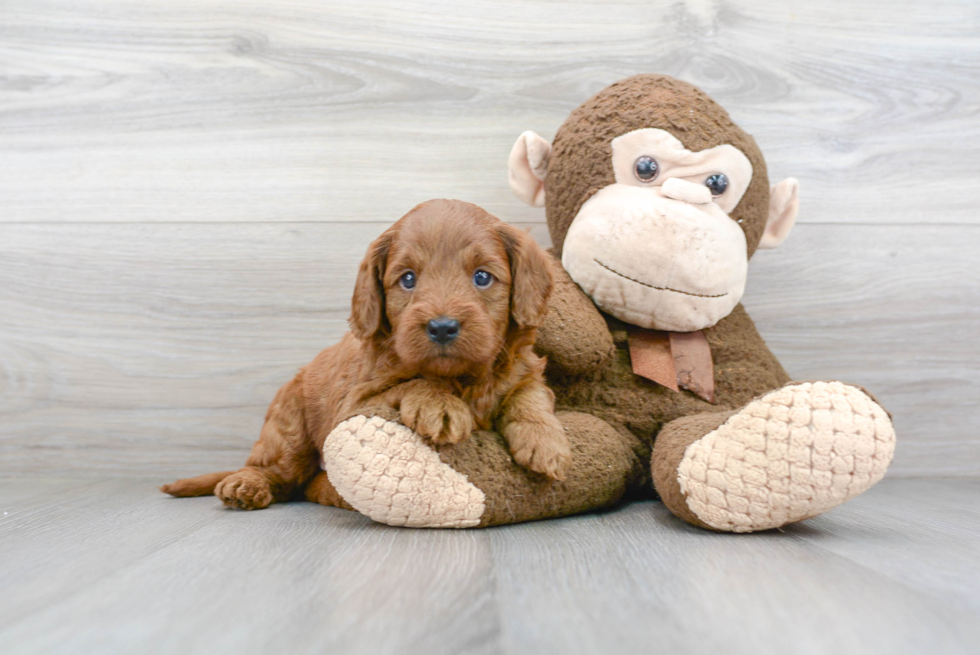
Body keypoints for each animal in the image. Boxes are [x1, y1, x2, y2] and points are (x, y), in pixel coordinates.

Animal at [164, 200, 572, 512]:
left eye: (483, 277)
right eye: (407, 279)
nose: (442, 327)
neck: (461, 377)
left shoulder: (523, 369)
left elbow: (530, 395)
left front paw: (545, 442)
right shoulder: (356, 401)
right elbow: (410, 383)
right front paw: (439, 404)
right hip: (289, 428)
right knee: (279, 472)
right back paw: (246, 485)